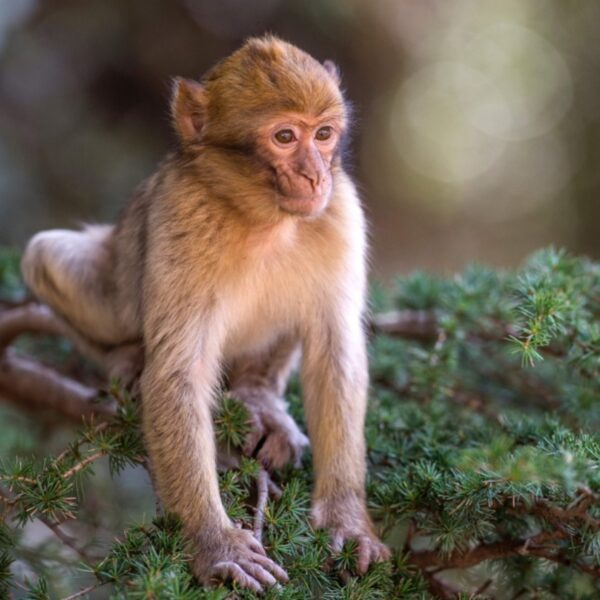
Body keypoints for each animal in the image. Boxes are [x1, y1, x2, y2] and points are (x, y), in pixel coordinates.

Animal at [19, 36, 390, 592]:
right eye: (285, 136)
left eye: (323, 134)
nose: (315, 175)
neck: (264, 218)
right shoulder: (182, 210)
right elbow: (177, 373)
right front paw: (214, 544)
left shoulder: (341, 212)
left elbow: (336, 353)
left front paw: (348, 521)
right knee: (44, 257)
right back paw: (127, 362)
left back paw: (258, 398)